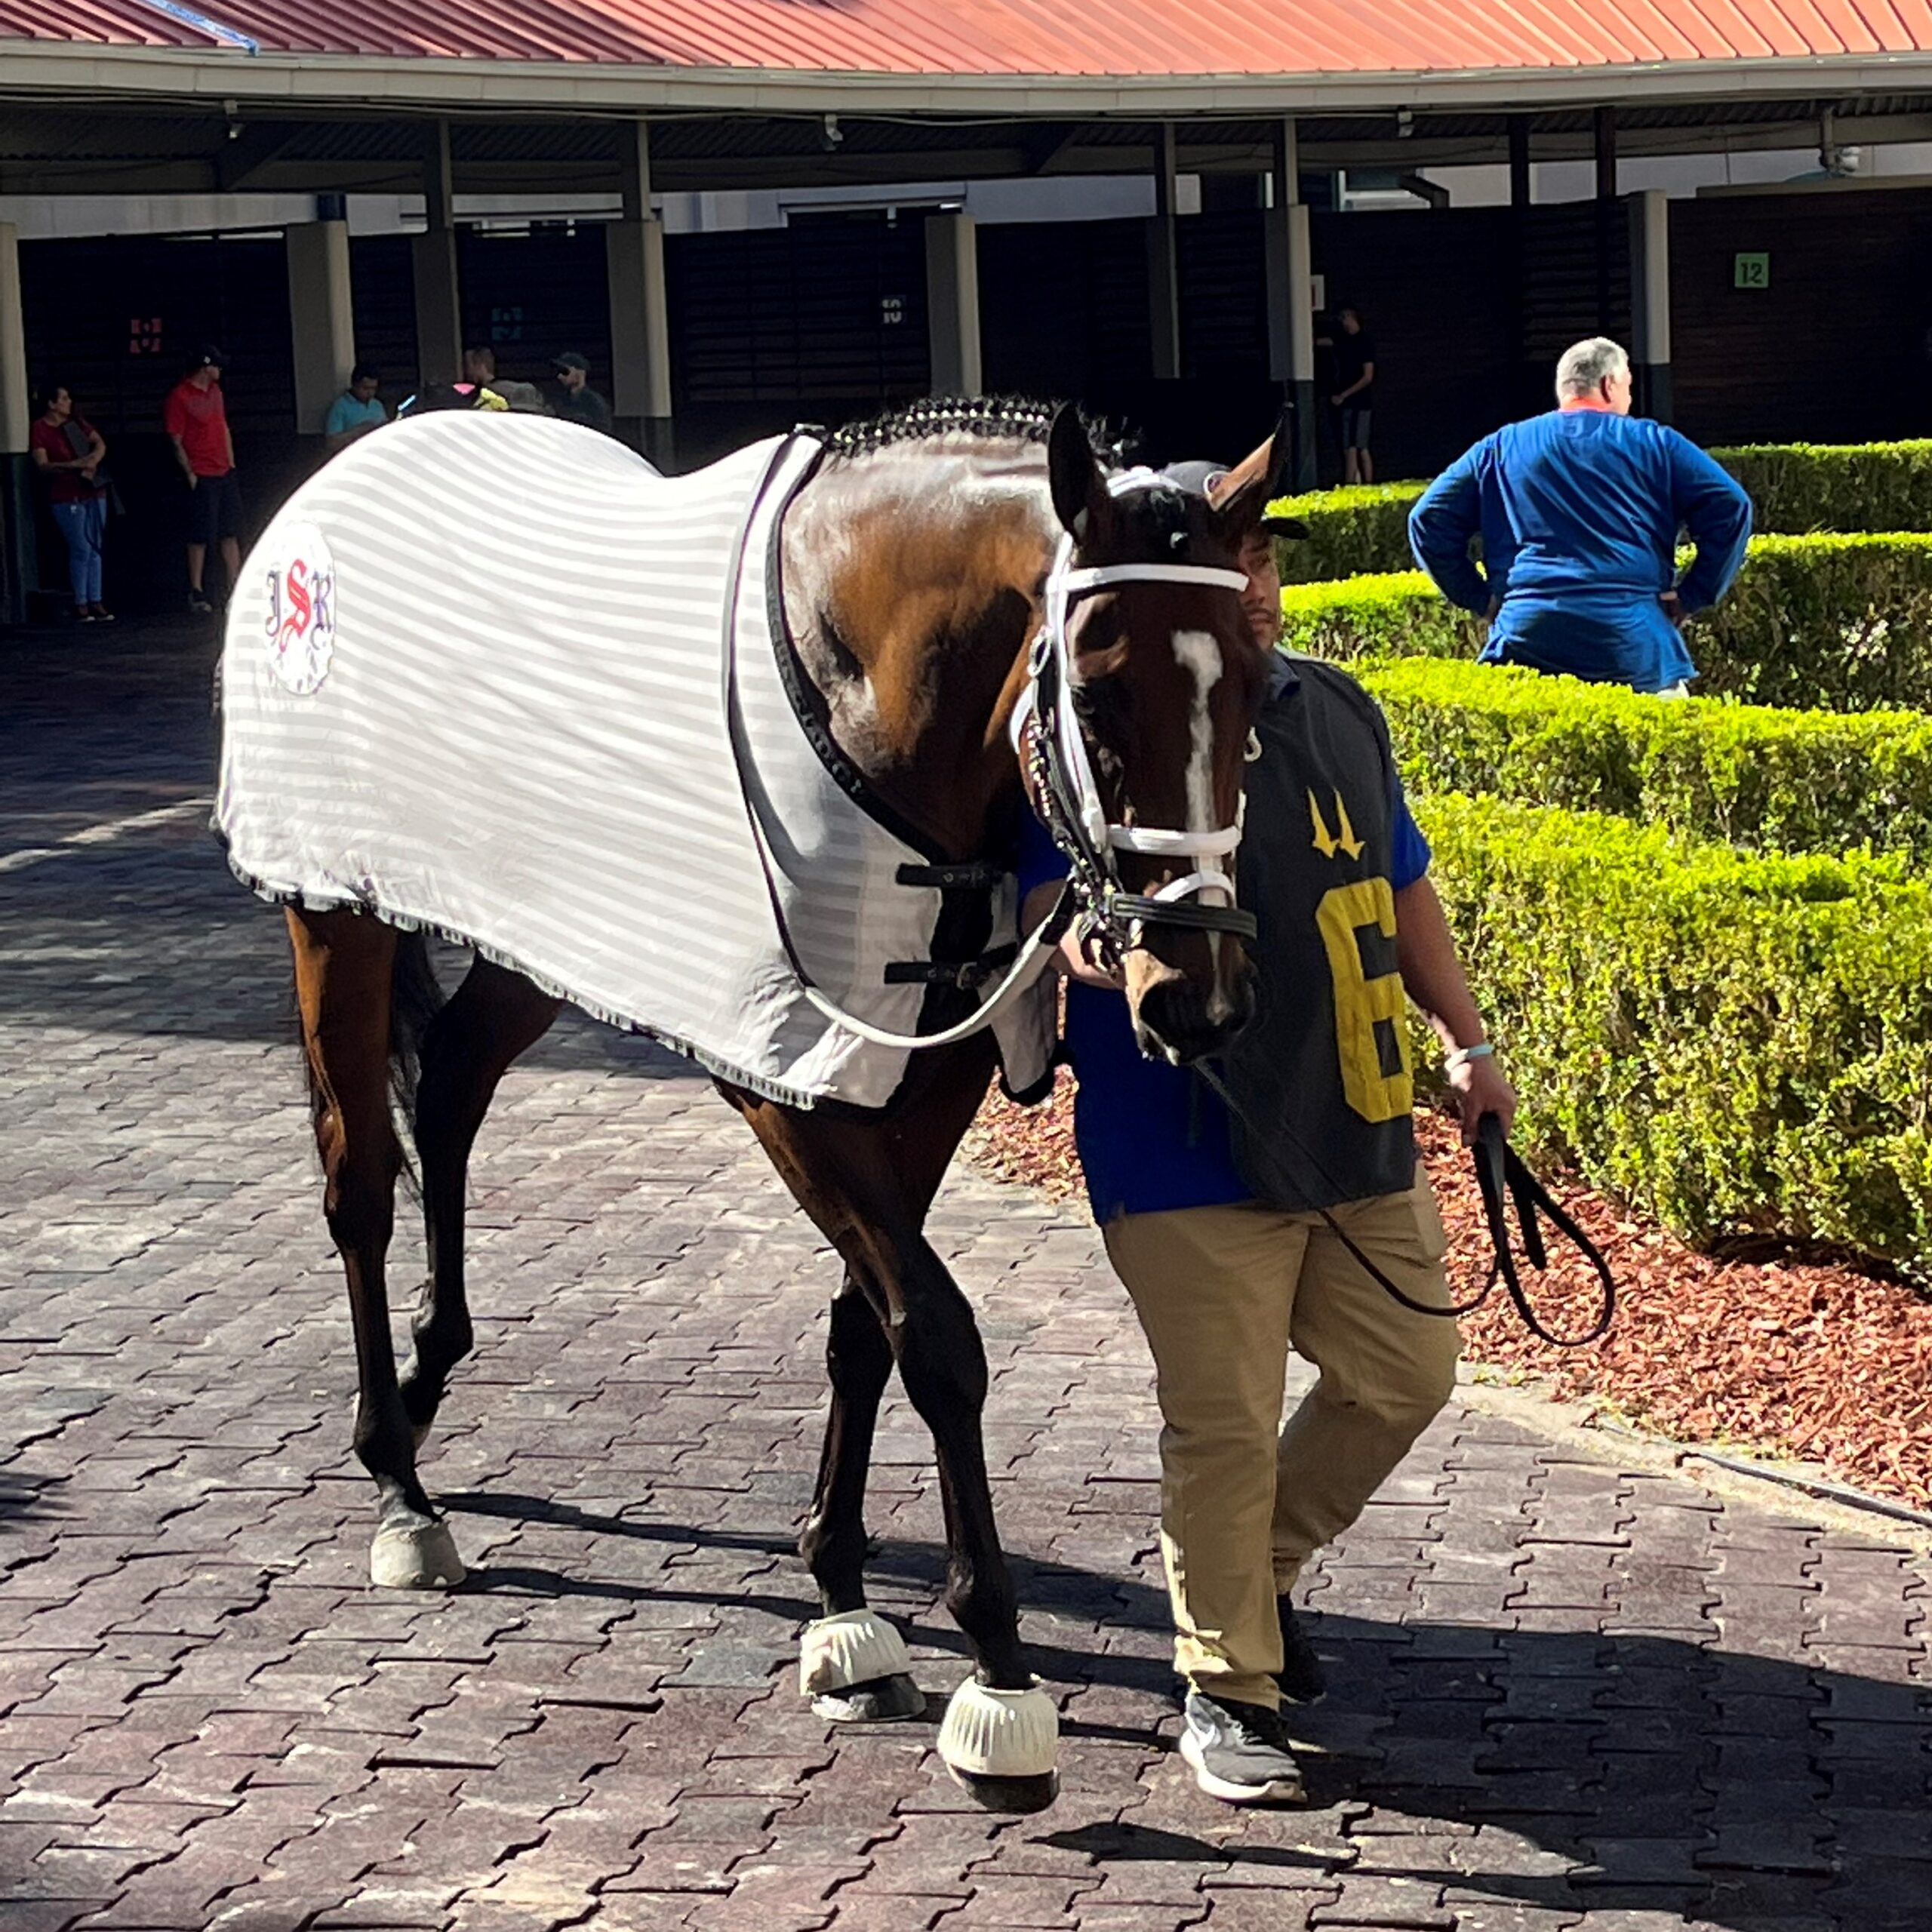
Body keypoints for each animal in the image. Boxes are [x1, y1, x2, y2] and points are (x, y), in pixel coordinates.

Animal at [276, 395, 1282, 1808]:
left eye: (1254, 683)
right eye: (1094, 689)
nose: (1198, 996)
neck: (862, 691)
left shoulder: (929, 1067)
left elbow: (869, 1322)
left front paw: (843, 1602)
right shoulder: (786, 1075)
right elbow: (938, 1336)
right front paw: (995, 1673)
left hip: (538, 930)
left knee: (458, 1083)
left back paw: (427, 1384)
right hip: (335, 910)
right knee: (358, 1177)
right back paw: (398, 1485)